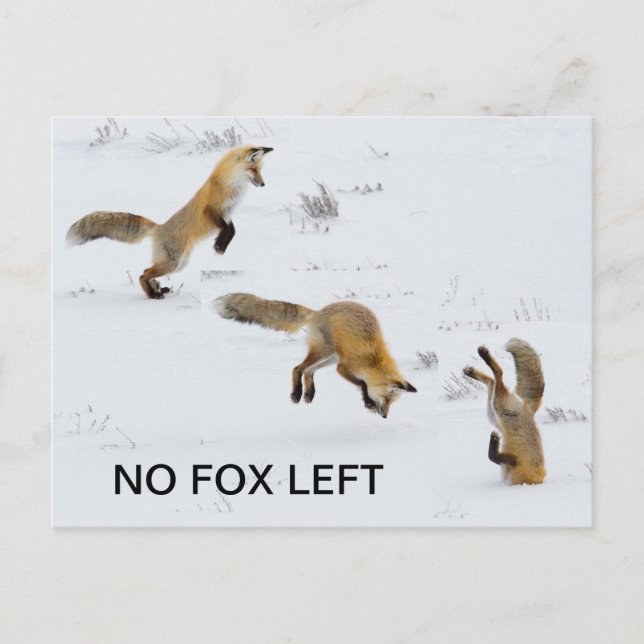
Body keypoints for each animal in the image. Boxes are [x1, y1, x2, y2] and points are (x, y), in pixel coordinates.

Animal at [66, 145, 273, 299]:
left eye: (260, 171)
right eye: (253, 169)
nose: (263, 184)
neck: (232, 184)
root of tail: (159, 228)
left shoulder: (227, 213)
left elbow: (232, 230)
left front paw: (221, 245)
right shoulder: (212, 209)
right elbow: (226, 229)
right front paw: (219, 245)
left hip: (179, 264)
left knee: (146, 270)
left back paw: (157, 289)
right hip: (173, 263)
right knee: (142, 274)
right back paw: (153, 294)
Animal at [214, 293, 417, 418]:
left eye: (392, 403)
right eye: (386, 400)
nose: (385, 416)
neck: (373, 360)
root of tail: (319, 311)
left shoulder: (341, 366)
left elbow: (363, 384)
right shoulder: (342, 368)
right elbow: (362, 384)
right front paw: (368, 402)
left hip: (329, 358)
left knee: (309, 371)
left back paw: (309, 394)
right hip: (325, 352)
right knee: (298, 368)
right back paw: (297, 394)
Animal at [463, 338, 546, 485]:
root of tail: (529, 410)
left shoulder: (513, 462)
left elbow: (492, 456)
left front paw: (494, 441)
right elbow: (492, 456)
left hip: (497, 410)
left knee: (495, 377)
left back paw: (479, 361)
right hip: (496, 410)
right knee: (495, 378)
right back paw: (475, 366)